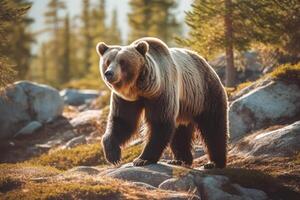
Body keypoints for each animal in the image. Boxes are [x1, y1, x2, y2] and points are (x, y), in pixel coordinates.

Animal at [96, 36, 227, 168]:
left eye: (122, 62)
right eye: (107, 61)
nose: (109, 73)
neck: (139, 89)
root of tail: (207, 64)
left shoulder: (161, 93)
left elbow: (159, 123)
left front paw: (142, 159)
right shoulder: (126, 99)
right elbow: (123, 121)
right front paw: (113, 155)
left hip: (205, 94)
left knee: (213, 127)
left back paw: (214, 162)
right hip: (185, 106)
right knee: (180, 132)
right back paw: (180, 160)